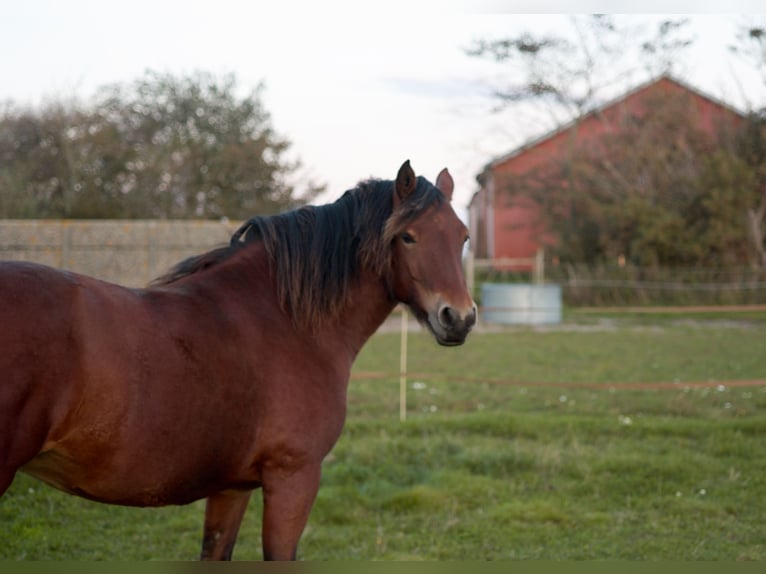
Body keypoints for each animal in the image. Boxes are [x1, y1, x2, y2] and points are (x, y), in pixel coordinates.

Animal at [0, 160, 476, 560]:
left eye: (463, 237)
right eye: (407, 236)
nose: (459, 318)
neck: (283, 319)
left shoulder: (232, 488)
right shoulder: (293, 479)